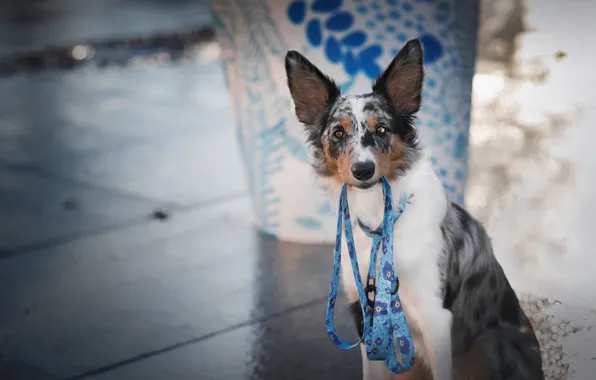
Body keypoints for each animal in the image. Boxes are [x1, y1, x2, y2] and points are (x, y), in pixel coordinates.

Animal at [286, 39, 544, 380]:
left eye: (382, 129)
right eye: (338, 133)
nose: (363, 170)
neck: (381, 220)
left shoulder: (436, 318)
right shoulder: (366, 315)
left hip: (491, 342)